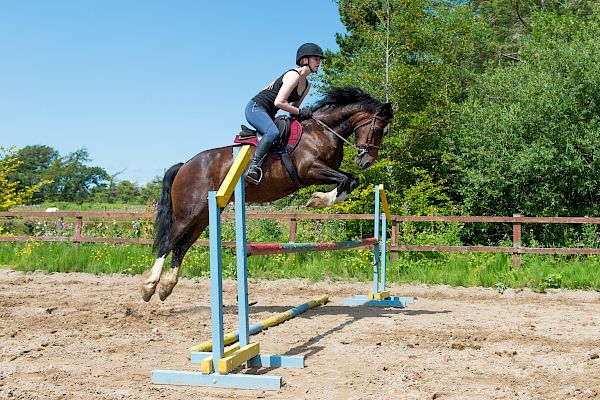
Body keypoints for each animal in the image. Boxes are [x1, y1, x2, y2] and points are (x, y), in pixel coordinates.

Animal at [140, 86, 394, 300]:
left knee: (183, 245)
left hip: (204, 215)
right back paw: (150, 285)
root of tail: (185, 165)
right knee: (169, 241)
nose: (366, 161)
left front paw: (319, 199)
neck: (323, 130)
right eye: (378, 129)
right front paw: (318, 200)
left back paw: (166, 287)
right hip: (188, 211)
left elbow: (351, 180)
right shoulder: (310, 169)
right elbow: (345, 180)